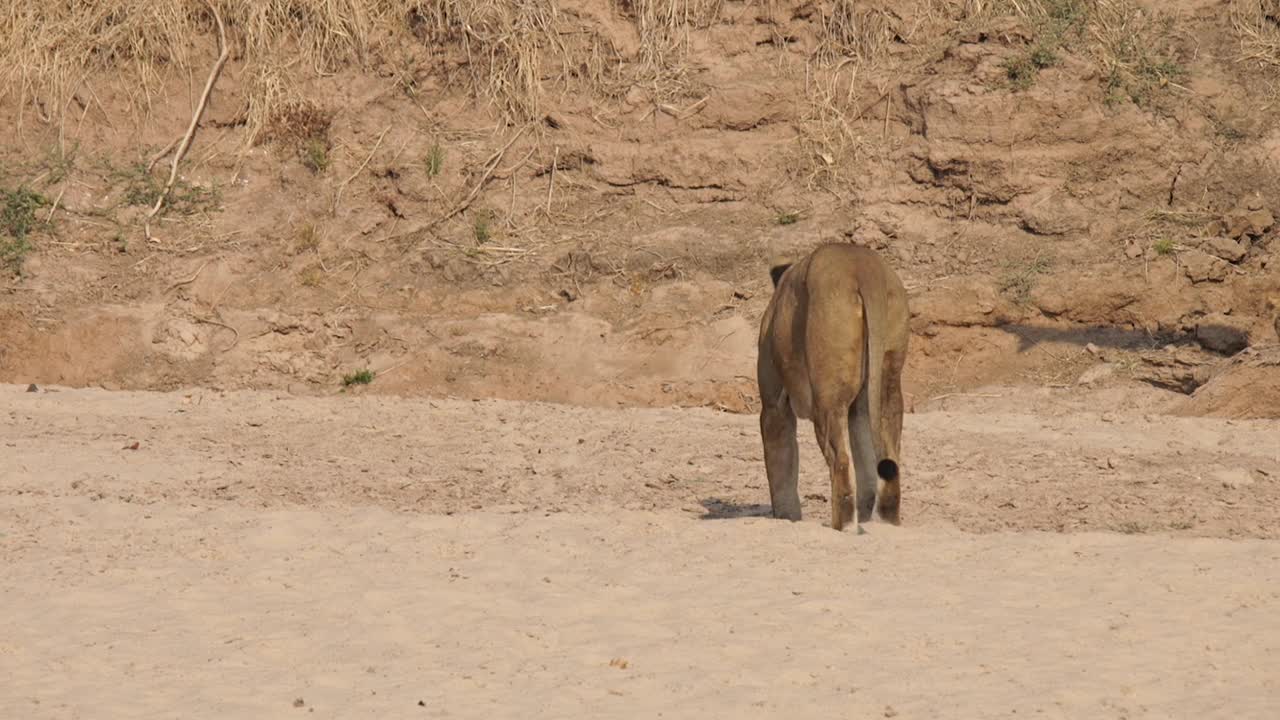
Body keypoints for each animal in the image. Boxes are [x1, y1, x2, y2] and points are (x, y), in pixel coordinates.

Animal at [757, 243, 911, 530]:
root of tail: (861, 265)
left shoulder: (773, 403)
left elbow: (780, 465)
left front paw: (786, 517)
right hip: (885, 383)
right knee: (885, 460)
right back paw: (884, 523)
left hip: (827, 399)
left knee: (840, 461)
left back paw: (841, 525)